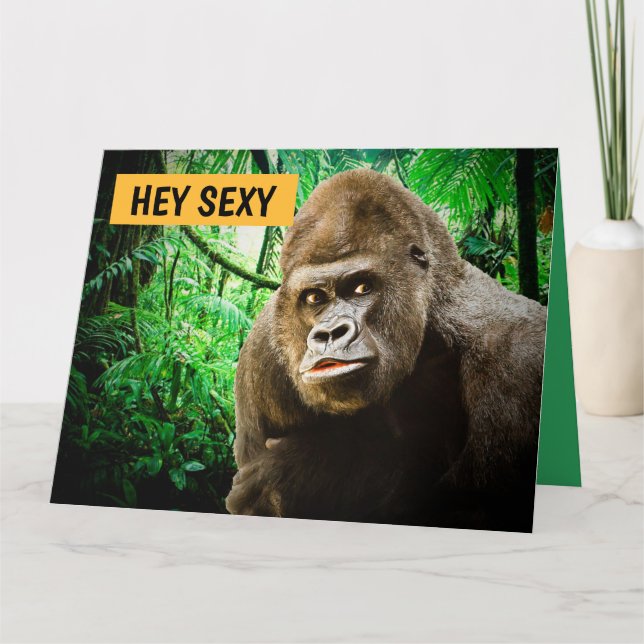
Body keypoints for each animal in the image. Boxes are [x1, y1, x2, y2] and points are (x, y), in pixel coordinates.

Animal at [225, 168, 546, 531]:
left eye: (362, 287)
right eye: (314, 297)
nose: (330, 333)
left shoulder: (517, 356)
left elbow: (466, 507)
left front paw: (306, 470)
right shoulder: (261, 349)